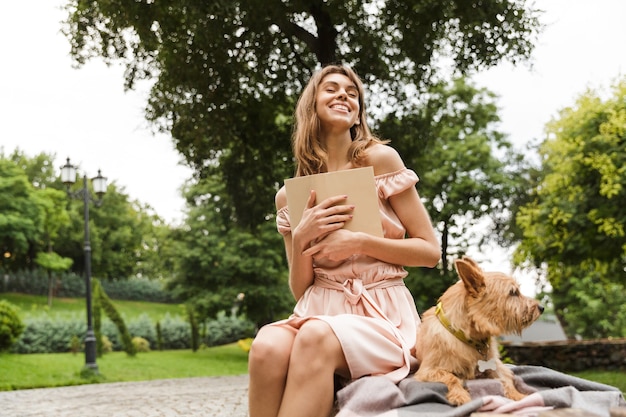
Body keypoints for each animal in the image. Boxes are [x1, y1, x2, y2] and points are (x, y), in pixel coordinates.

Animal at [414, 255, 540, 404]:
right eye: (513, 292)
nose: (542, 307)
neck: (470, 338)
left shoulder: (496, 364)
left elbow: (506, 379)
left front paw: (518, 396)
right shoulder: (428, 370)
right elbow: (451, 377)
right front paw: (459, 395)